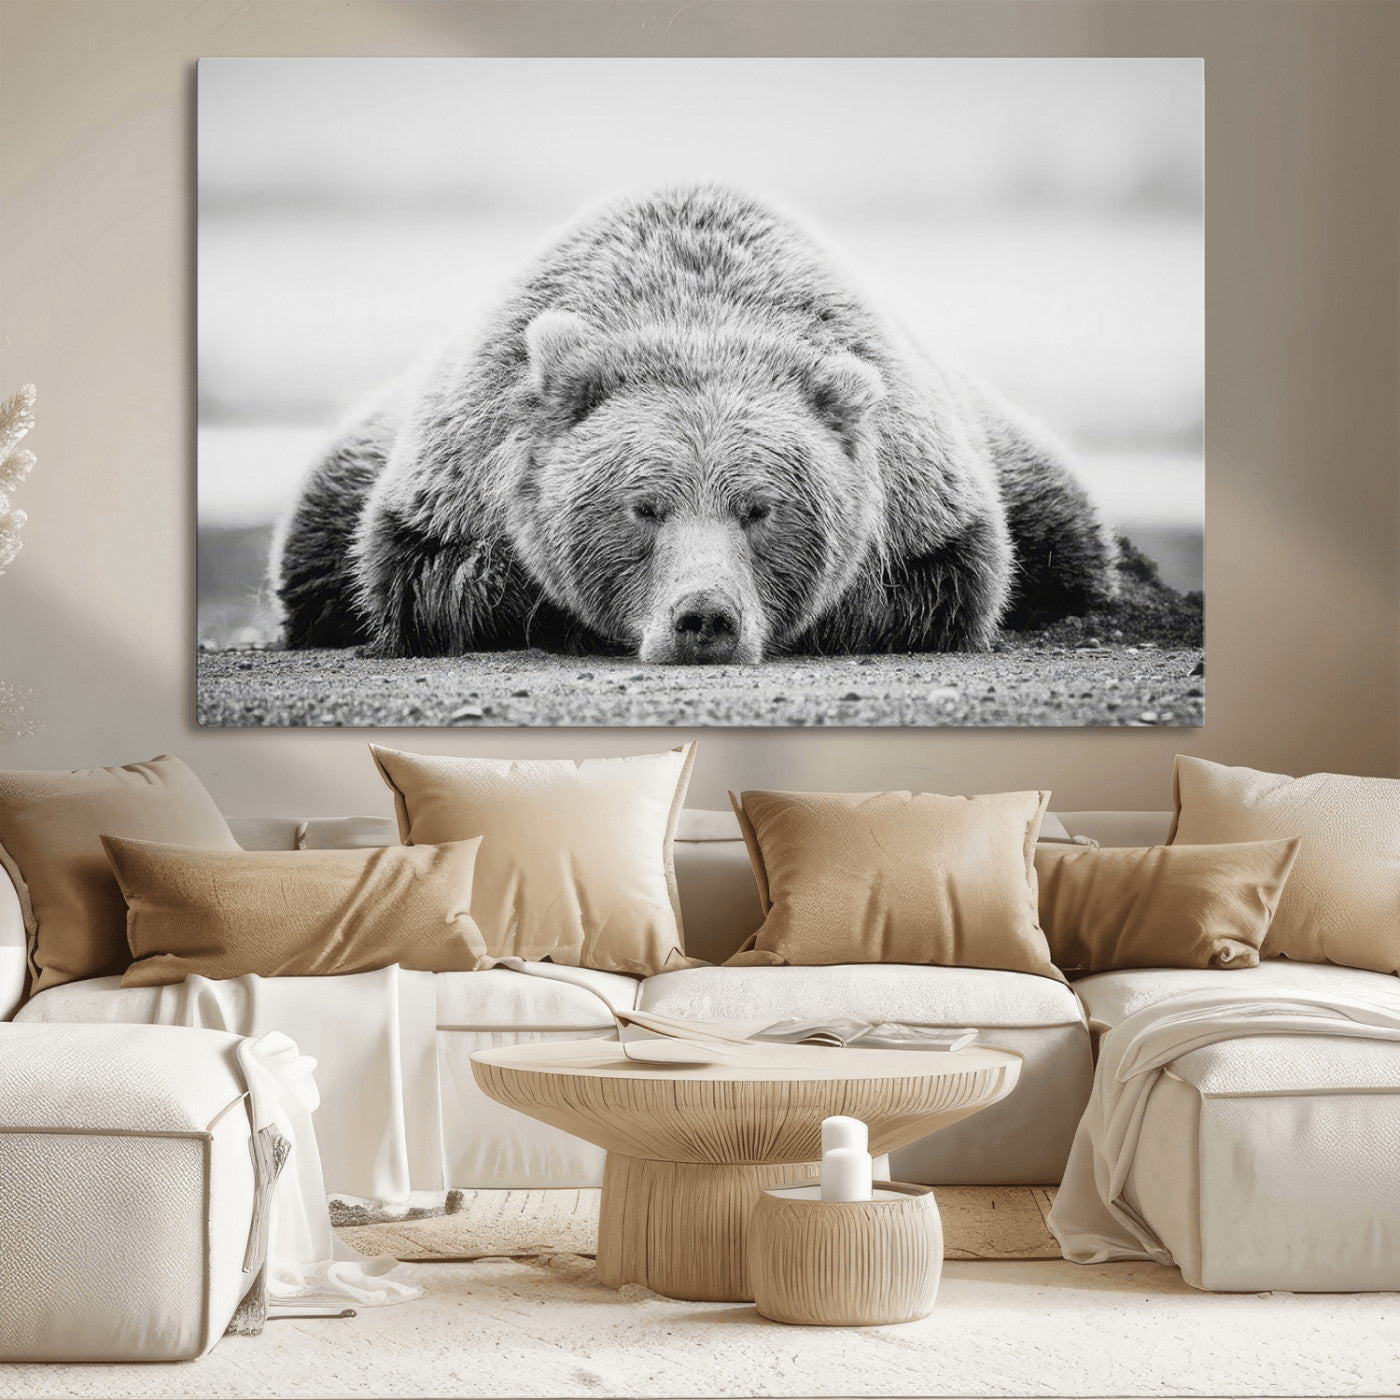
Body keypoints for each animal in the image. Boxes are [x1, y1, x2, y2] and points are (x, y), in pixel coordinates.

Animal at [275, 183, 1114, 663]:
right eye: (643, 507)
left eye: (761, 509)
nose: (703, 618)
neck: (697, 313)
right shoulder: (454, 481)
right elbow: (433, 579)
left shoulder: (924, 499)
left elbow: (943, 582)